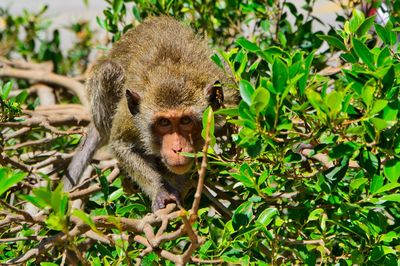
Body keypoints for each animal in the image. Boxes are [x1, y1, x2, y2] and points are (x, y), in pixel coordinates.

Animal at [63, 16, 236, 212]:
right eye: (164, 122)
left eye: (185, 120)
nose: (177, 148)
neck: (171, 73)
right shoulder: (129, 116)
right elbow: (122, 145)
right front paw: (160, 189)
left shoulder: (227, 92)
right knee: (109, 69)